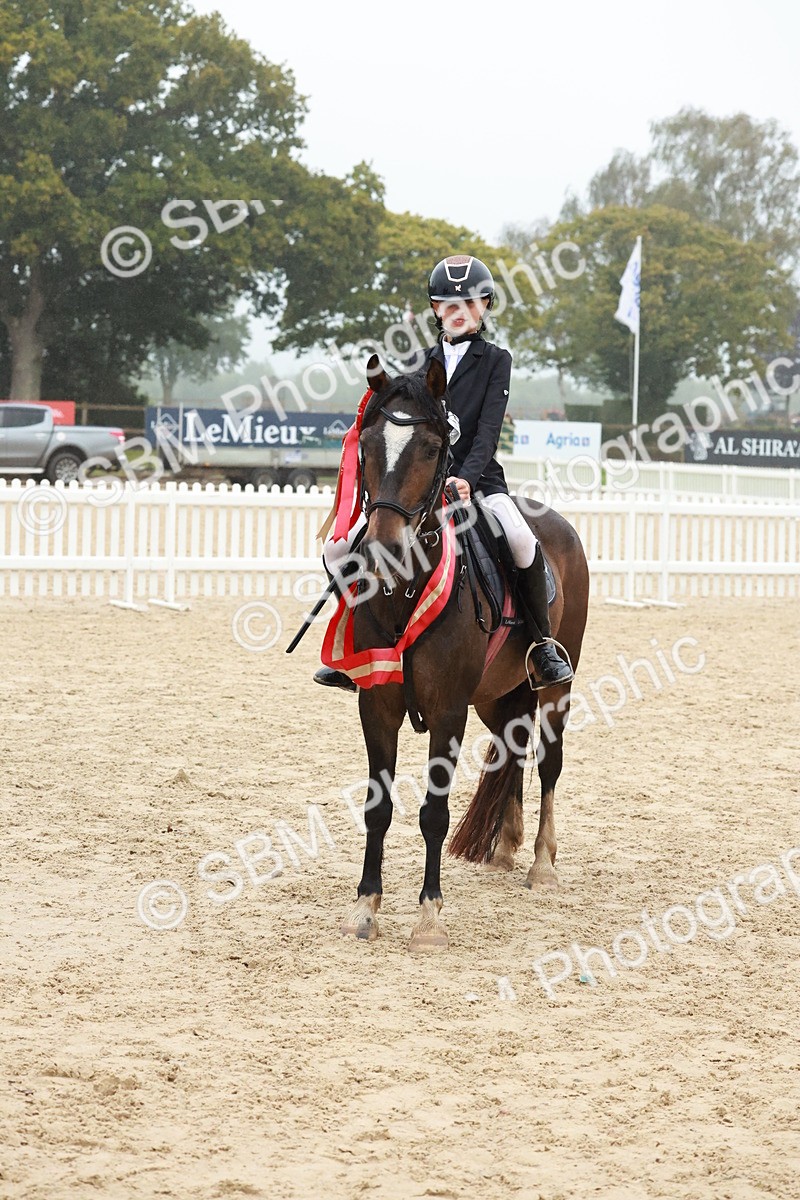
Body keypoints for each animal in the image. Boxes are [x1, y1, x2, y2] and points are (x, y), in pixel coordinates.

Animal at [338, 354, 589, 951]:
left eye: (434, 448)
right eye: (367, 446)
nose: (383, 550)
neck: (406, 591)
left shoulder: (449, 710)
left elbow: (434, 812)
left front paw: (429, 919)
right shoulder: (375, 705)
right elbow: (378, 807)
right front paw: (365, 908)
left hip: (556, 687)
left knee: (548, 760)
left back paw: (542, 864)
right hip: (498, 695)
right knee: (513, 747)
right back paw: (504, 848)